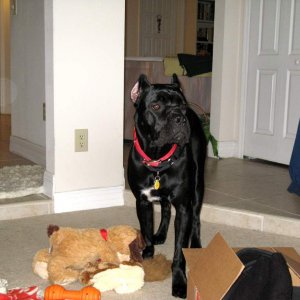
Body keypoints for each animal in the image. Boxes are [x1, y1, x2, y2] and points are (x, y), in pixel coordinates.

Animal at [126, 73, 206, 298]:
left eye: (183, 105)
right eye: (155, 106)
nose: (180, 117)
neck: (158, 158)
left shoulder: (184, 207)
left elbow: (179, 250)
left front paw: (179, 280)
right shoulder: (142, 202)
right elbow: (146, 231)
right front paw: (147, 254)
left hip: (198, 187)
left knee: (196, 218)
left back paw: (196, 244)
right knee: (165, 209)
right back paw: (161, 234)